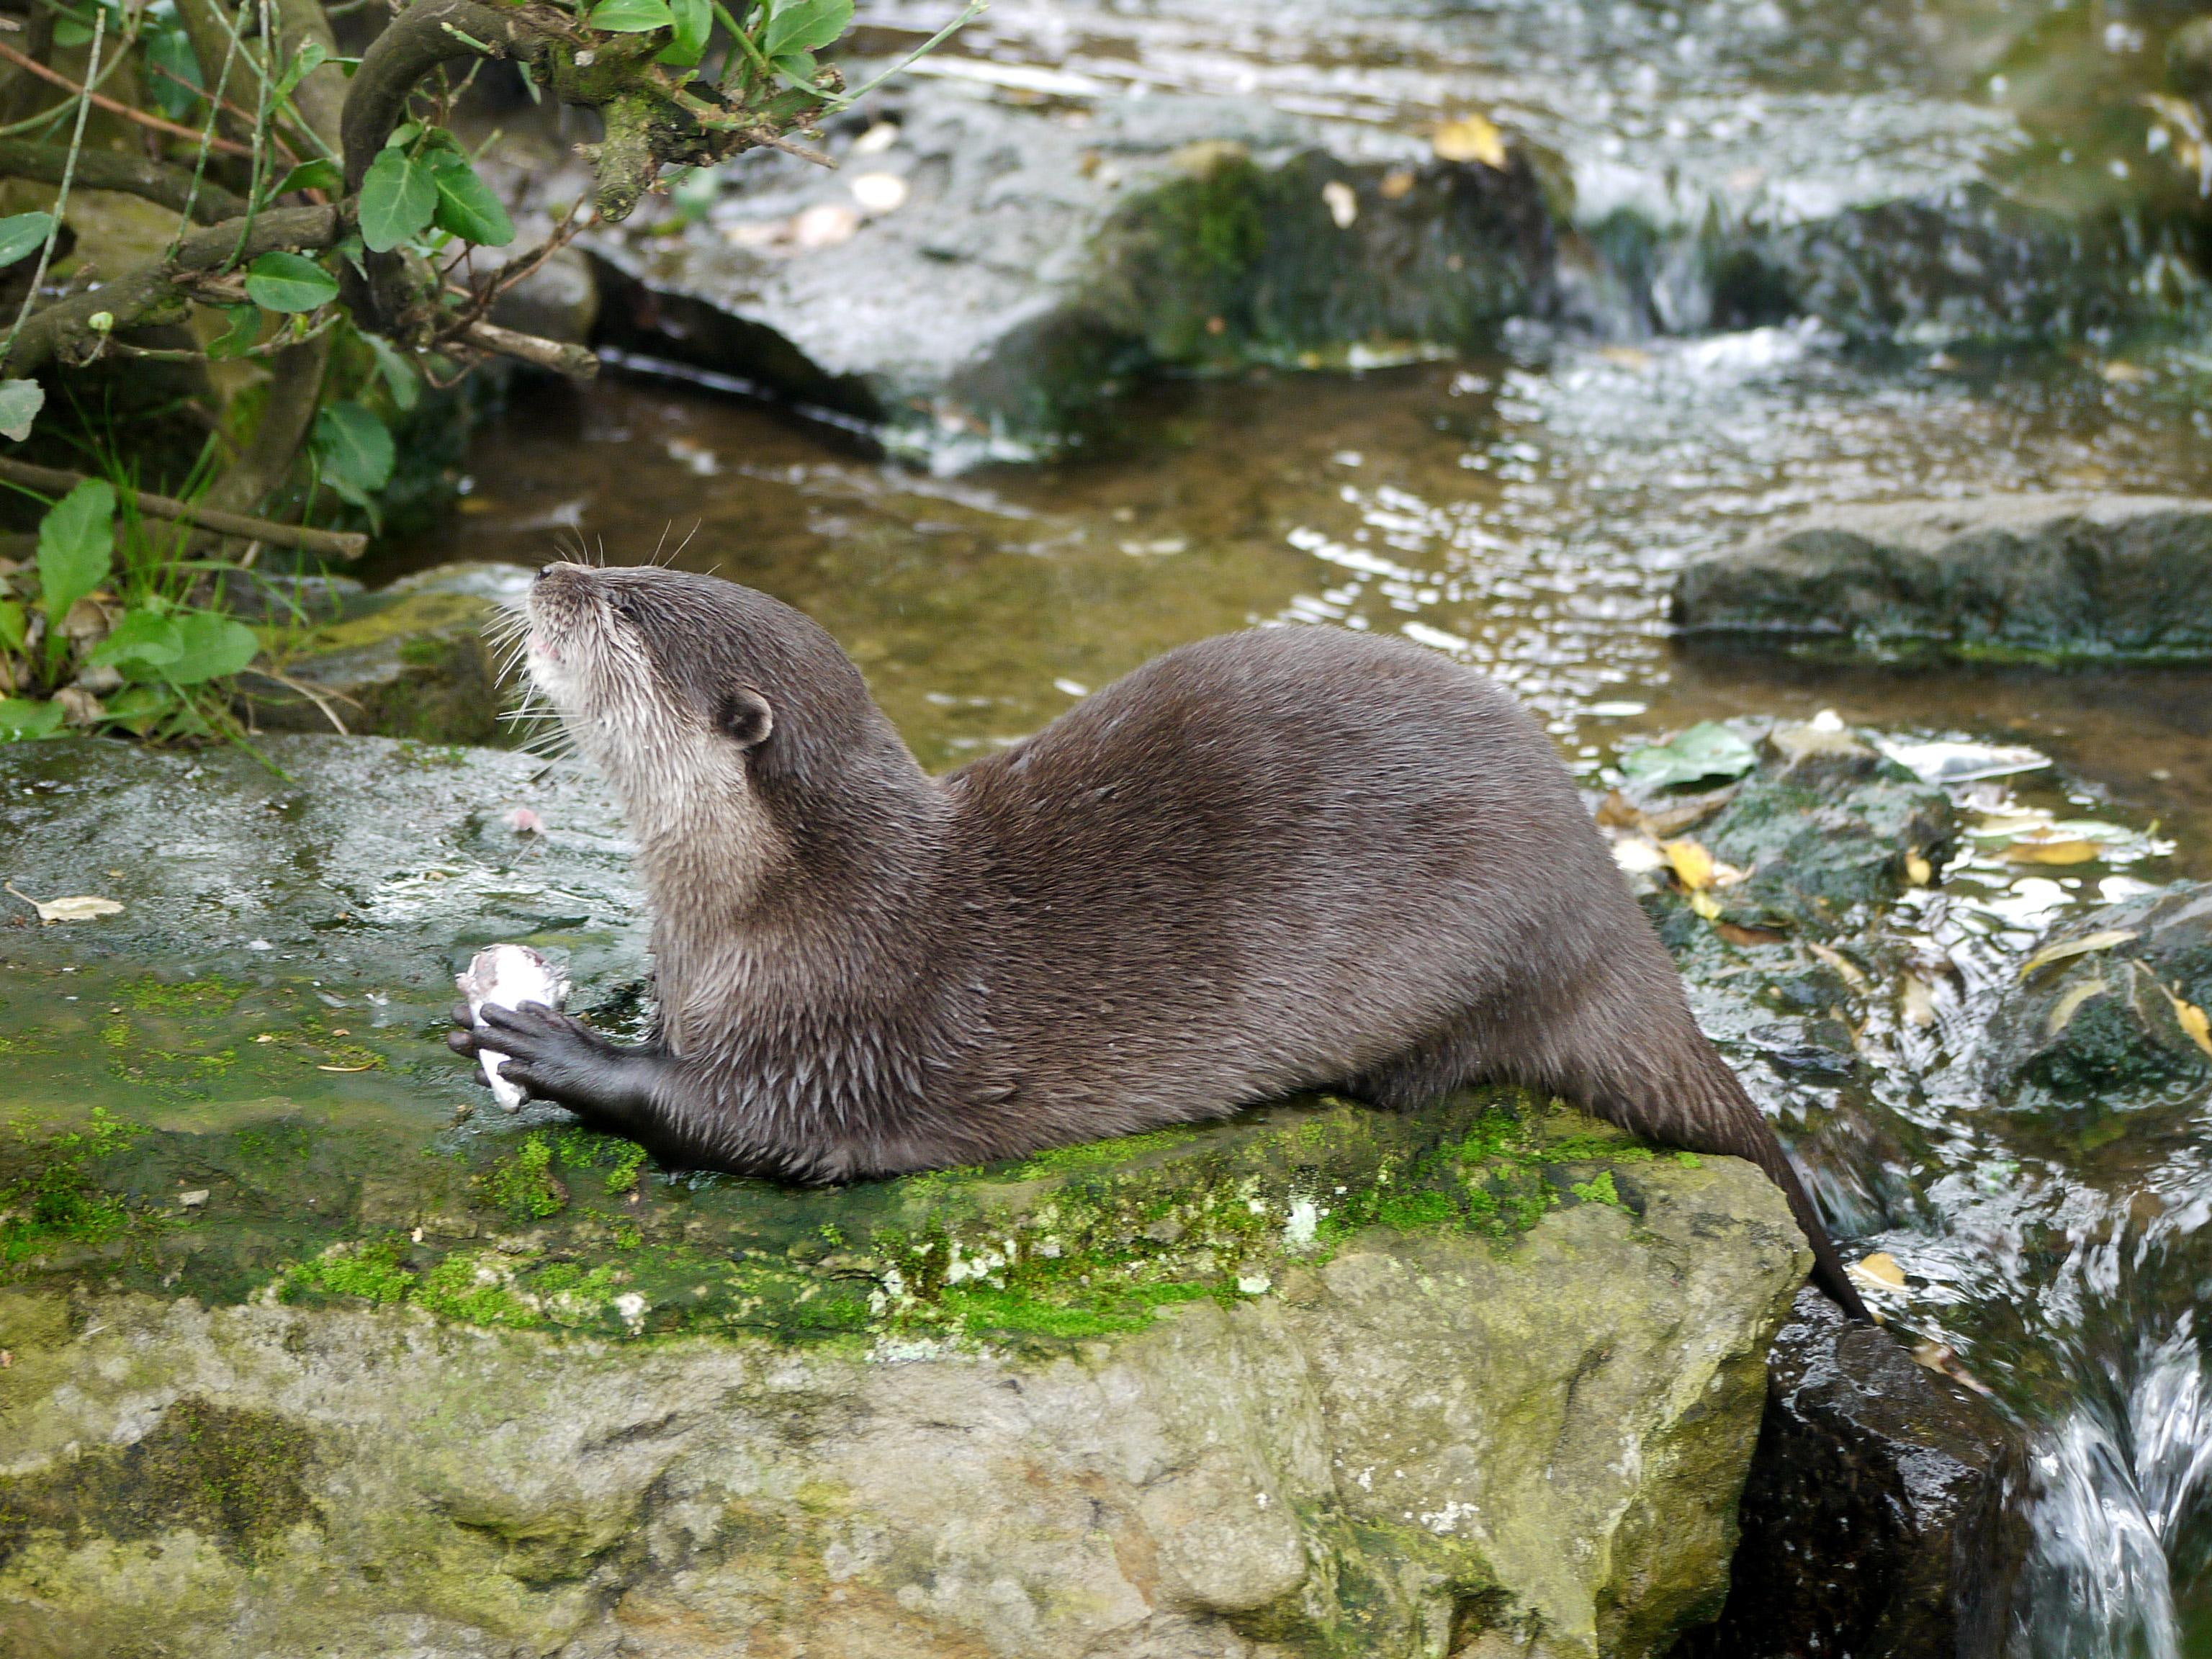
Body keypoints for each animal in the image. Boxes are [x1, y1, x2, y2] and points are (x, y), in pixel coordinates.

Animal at [451, 562, 1869, 1319]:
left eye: (627, 610)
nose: (547, 575)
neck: (779, 901)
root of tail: (1606, 910)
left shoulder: (847, 1024)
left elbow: (742, 1123)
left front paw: (557, 1045)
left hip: (1488, 939)